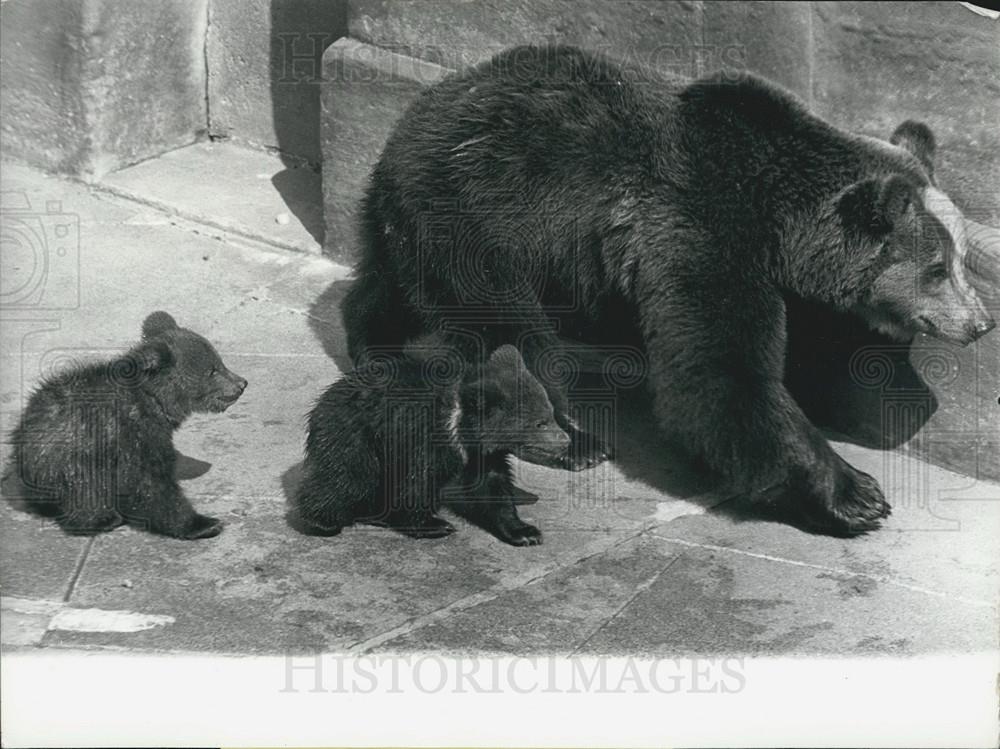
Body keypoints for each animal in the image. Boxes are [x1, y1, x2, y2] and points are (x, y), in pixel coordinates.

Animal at [3, 311, 247, 539]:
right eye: (212, 370)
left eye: (220, 362)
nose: (242, 383)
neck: (155, 401)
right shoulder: (130, 432)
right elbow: (149, 482)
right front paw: (203, 523)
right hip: (72, 455)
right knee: (86, 490)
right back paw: (103, 519)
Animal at [292, 343, 570, 546]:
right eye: (540, 423)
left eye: (550, 414)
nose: (566, 440)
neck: (461, 430)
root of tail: (321, 401)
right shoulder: (422, 437)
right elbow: (417, 483)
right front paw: (435, 525)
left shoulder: (480, 454)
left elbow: (494, 488)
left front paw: (526, 532)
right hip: (355, 436)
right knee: (347, 477)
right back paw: (323, 521)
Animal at [340, 44, 995, 536]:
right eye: (937, 267)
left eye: (962, 258)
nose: (979, 322)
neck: (780, 222)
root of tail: (409, 120)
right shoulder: (696, 225)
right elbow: (719, 371)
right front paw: (855, 494)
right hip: (480, 219)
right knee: (509, 330)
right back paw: (577, 439)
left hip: (422, 225)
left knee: (387, 288)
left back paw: (373, 350)